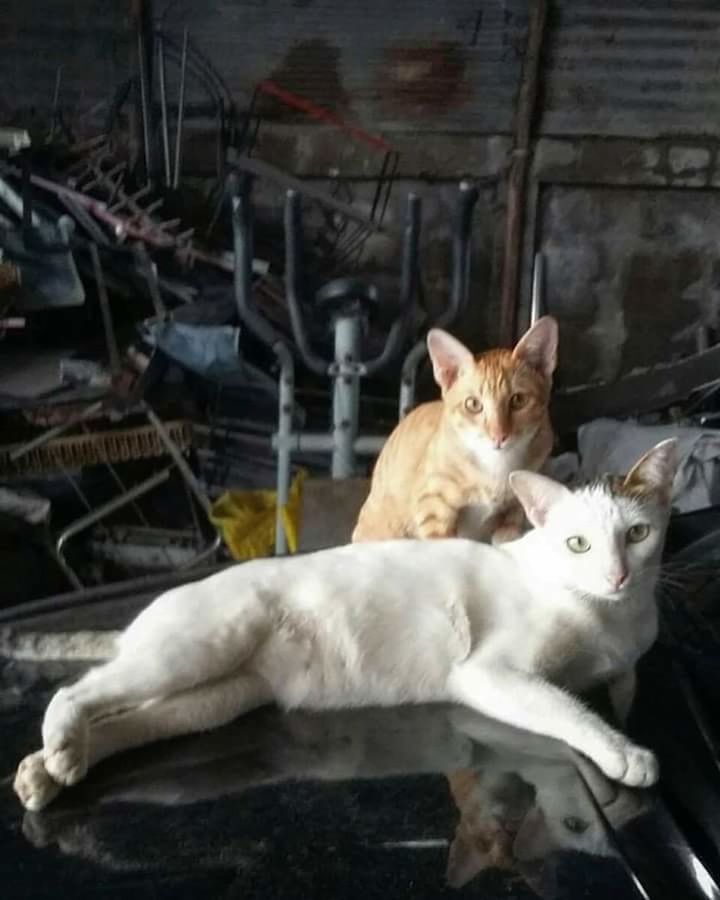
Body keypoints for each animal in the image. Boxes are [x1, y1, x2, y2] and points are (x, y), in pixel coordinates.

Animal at [14, 440, 676, 812]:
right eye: (577, 544)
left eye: (637, 534)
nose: (616, 574)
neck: (612, 617)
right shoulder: (489, 674)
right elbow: (571, 711)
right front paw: (626, 753)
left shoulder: (621, 662)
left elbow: (616, 688)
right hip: (193, 652)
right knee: (76, 690)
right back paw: (59, 750)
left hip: (215, 697)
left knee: (126, 722)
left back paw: (46, 771)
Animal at [352, 316, 556, 540]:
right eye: (473, 404)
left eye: (518, 400)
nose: (498, 436)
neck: (497, 467)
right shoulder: (431, 507)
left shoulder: (516, 507)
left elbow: (508, 532)